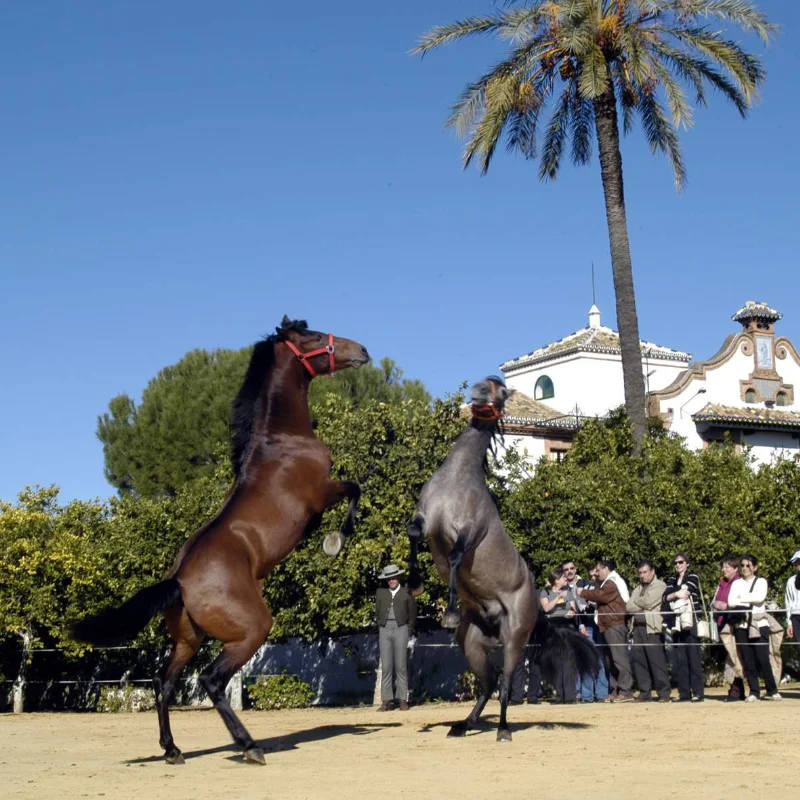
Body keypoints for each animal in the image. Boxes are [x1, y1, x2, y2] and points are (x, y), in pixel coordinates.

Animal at [71, 316, 370, 765]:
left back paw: (173, 750)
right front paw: (337, 540)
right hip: (250, 630)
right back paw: (248, 746)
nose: (362, 351)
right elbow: (355, 490)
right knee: (212, 680)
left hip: (188, 639)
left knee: (163, 683)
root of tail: (178, 581)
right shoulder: (321, 494)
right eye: (314, 337)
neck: (282, 439)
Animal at [407, 376, 598, 741]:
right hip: (471, 644)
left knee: (506, 684)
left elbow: (455, 559)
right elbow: (411, 535)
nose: (480, 392)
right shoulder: (425, 521)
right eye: (486, 383)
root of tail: (536, 607)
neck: (457, 480)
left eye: (503, 391)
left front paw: (449, 612)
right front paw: (413, 584)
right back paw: (463, 725)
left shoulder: (467, 533)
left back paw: (503, 730)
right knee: (488, 683)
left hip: (514, 641)